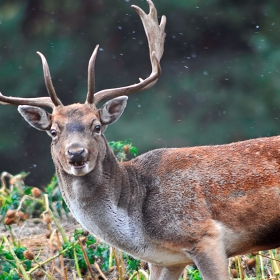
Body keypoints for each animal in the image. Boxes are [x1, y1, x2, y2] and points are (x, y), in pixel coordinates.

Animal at [0, 0, 280, 278]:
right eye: (53, 131)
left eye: (97, 126)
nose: (77, 153)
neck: (138, 225)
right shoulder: (166, 259)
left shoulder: (204, 235)